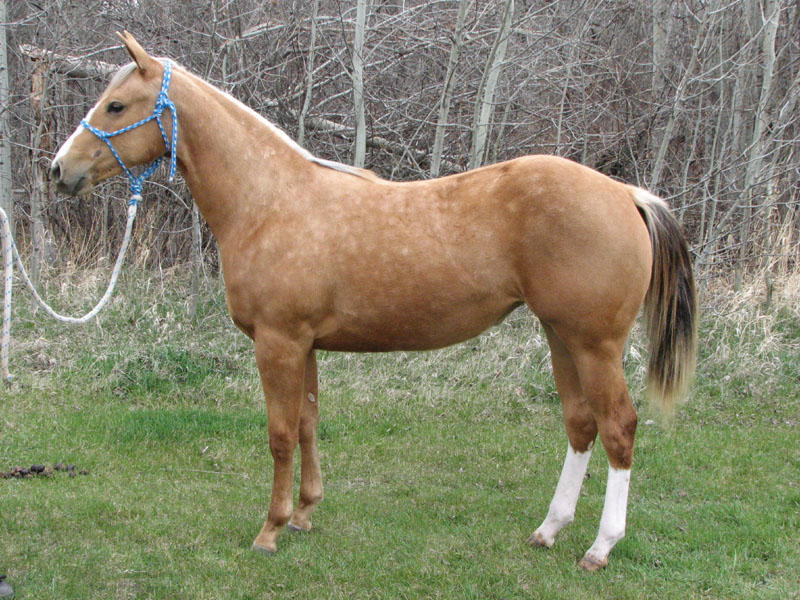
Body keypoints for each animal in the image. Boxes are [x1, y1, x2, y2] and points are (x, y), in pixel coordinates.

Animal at [50, 32, 697, 571]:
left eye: (116, 106)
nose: (61, 169)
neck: (270, 200)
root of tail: (626, 193)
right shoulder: (304, 344)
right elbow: (308, 423)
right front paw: (305, 515)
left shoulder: (278, 342)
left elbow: (280, 434)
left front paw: (270, 531)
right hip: (560, 336)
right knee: (581, 425)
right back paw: (549, 529)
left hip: (594, 345)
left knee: (618, 429)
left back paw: (600, 547)